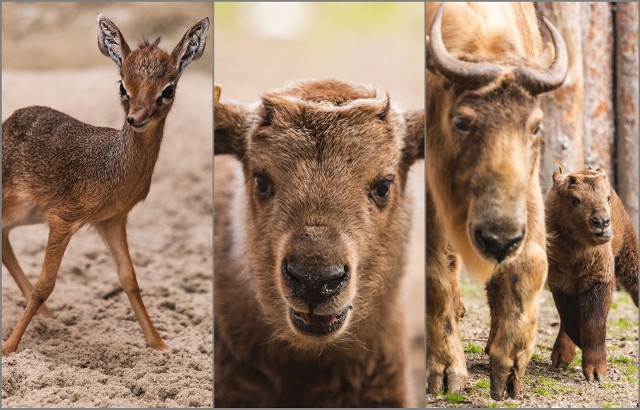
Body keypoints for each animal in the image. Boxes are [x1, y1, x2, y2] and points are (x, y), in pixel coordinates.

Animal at [544, 167, 640, 382]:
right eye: (574, 200)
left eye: (606, 197)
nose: (602, 222)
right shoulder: (560, 283)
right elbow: (570, 319)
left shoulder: (600, 280)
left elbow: (593, 324)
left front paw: (596, 372)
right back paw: (561, 357)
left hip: (628, 254)